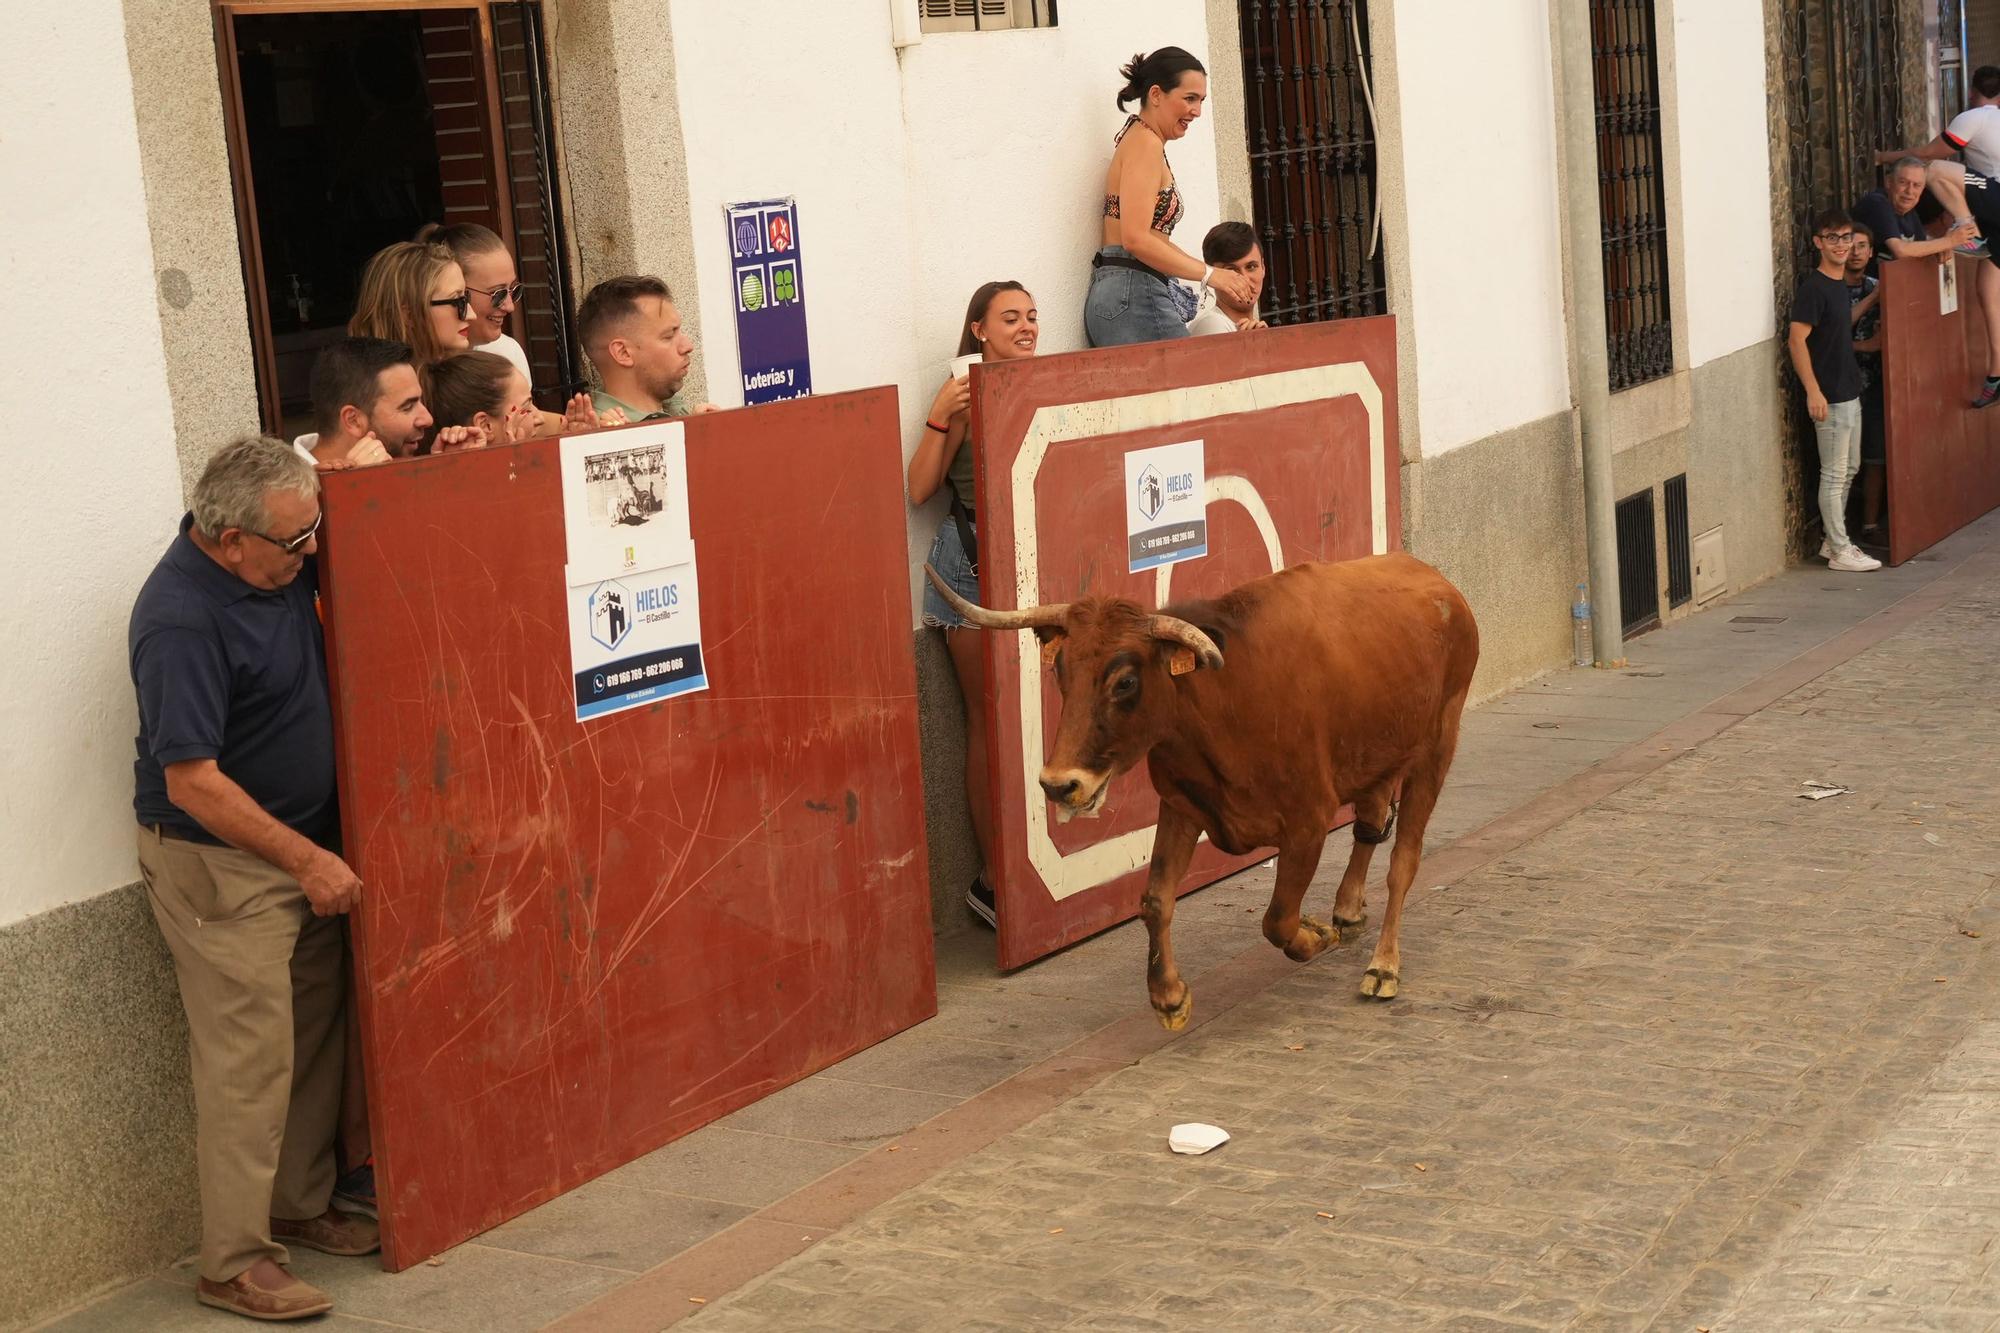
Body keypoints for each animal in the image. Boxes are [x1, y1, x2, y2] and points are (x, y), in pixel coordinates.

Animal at [928, 548, 1480, 1024]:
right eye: (1061, 672)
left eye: (1125, 682)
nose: (1060, 785)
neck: (1223, 701)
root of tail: (1439, 584)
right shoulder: (1181, 806)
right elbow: (1155, 900)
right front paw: (1168, 997)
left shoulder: (1308, 821)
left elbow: (1279, 919)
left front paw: (1314, 935)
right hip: (1376, 752)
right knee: (1369, 822)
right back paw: (1347, 911)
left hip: (1437, 745)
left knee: (1403, 860)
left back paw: (1383, 965)